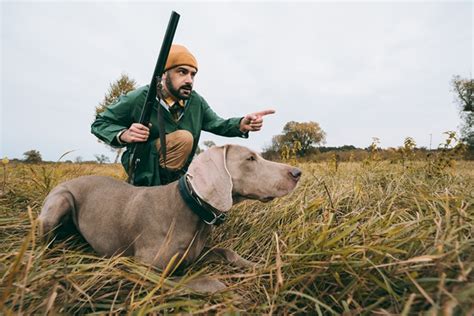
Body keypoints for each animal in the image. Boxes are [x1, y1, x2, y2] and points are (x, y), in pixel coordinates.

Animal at [39, 144, 302, 292]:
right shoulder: (139, 267)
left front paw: (263, 266)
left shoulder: (198, 251)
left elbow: (229, 252)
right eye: (250, 159)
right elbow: (195, 281)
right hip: (59, 202)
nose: (297, 172)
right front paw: (222, 287)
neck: (191, 209)